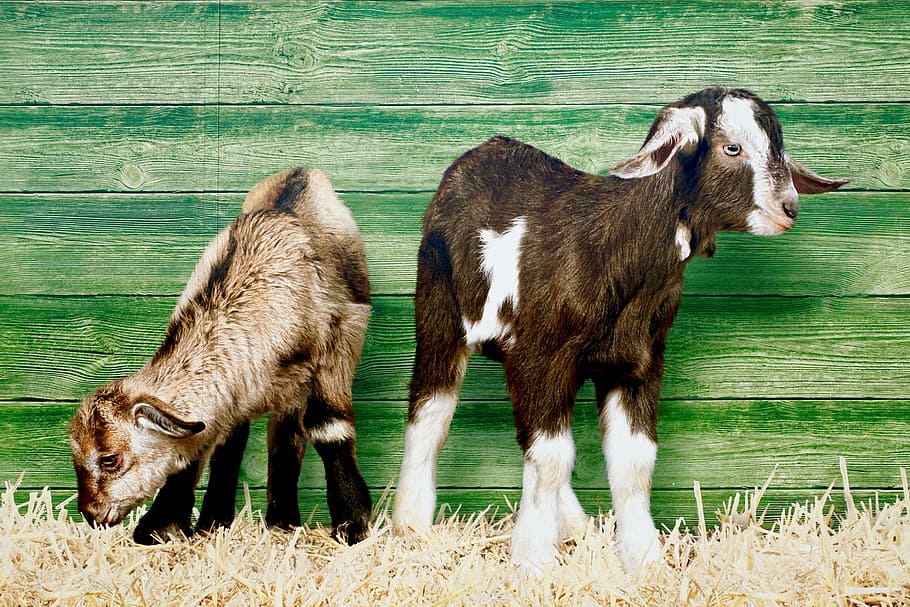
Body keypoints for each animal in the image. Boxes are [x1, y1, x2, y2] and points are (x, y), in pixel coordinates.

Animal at [69, 168, 373, 545]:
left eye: (109, 459)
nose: (90, 513)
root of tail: (302, 172)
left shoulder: (331, 352)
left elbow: (328, 428)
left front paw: (353, 523)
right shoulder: (238, 391)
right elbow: (222, 445)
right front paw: (193, 524)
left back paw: (284, 520)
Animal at [392, 87, 848, 573]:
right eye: (732, 148)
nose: (789, 208)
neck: (615, 246)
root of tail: (473, 158)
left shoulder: (637, 361)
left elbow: (633, 463)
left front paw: (643, 560)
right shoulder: (542, 356)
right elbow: (551, 457)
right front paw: (533, 561)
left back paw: (575, 526)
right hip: (439, 308)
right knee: (431, 413)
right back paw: (411, 524)